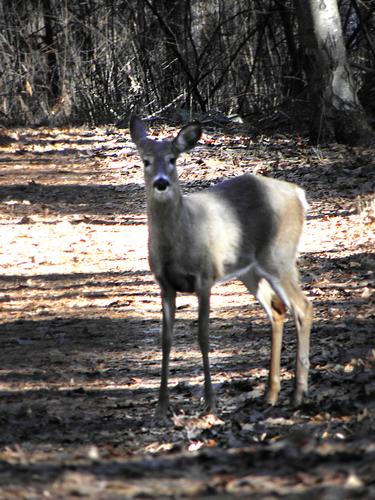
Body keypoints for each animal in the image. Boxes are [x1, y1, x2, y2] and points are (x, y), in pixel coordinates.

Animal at [131, 116, 312, 418]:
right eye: (146, 160)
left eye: (172, 159)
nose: (161, 183)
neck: (179, 240)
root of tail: (299, 194)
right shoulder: (164, 283)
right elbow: (166, 339)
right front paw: (162, 406)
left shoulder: (204, 276)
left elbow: (203, 336)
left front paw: (210, 402)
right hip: (250, 269)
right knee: (277, 309)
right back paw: (270, 394)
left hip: (279, 255)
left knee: (303, 307)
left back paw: (299, 393)